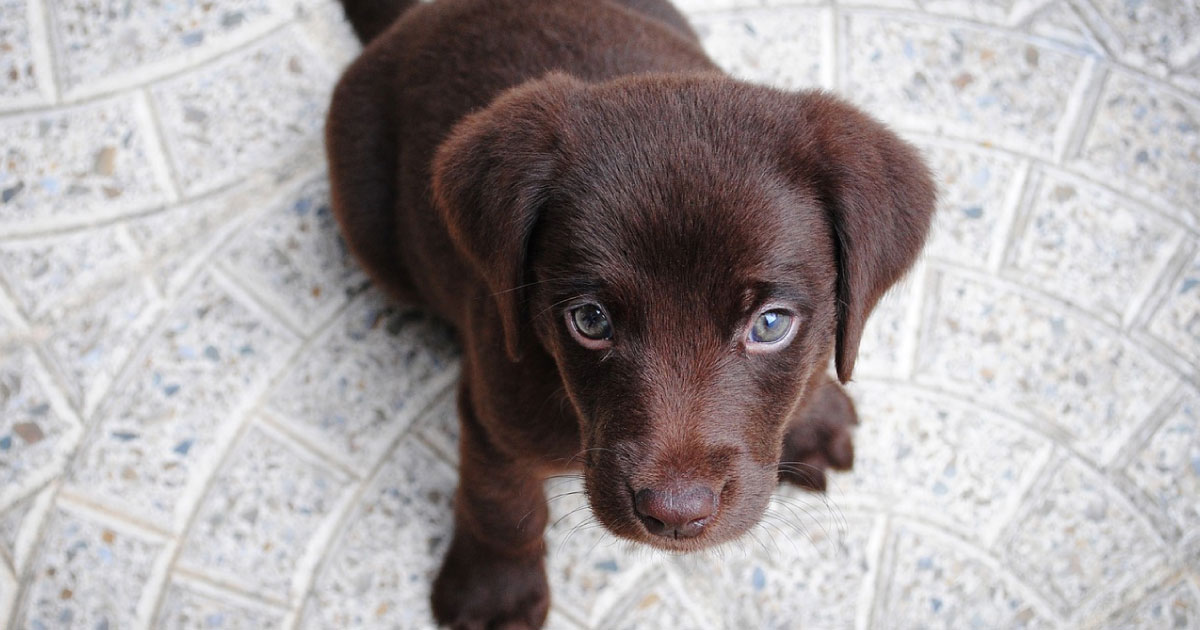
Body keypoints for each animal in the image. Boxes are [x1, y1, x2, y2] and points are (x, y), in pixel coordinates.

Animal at [328, 2, 936, 624]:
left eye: (770, 323)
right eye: (590, 321)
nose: (675, 514)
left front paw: (813, 416)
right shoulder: (494, 408)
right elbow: (501, 502)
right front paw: (495, 592)